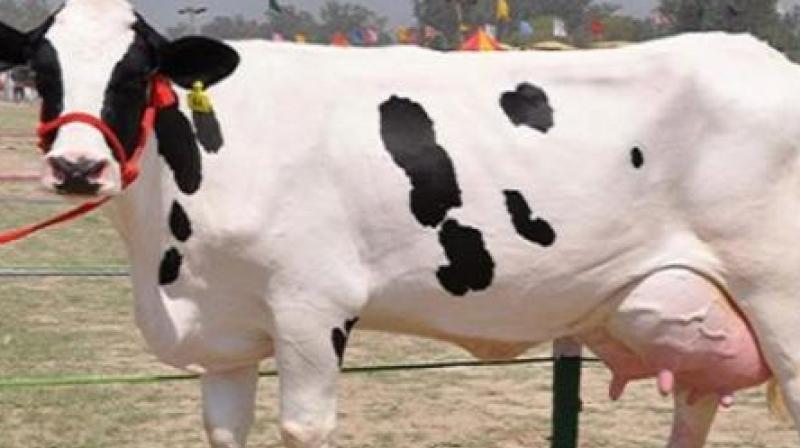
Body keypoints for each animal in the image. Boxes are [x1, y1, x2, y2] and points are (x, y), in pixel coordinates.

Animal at [1, 1, 799, 447]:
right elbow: (226, 429)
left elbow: (305, 428)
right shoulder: (224, 329)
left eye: (138, 72)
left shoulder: (311, 305)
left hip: (782, 306)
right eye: (41, 70)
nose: (77, 167)